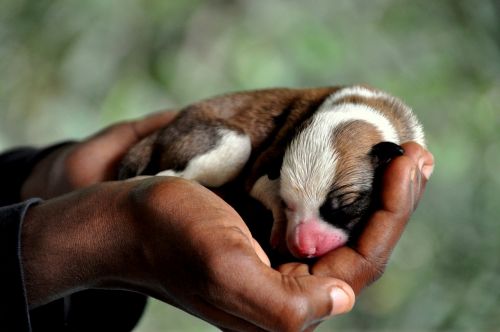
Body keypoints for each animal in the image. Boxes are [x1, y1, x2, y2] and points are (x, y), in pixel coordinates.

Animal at [119, 85, 424, 260]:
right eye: (288, 203)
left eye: (343, 208)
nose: (303, 248)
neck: (360, 108)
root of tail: (164, 130)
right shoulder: (261, 167)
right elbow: (260, 185)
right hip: (226, 142)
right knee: (169, 173)